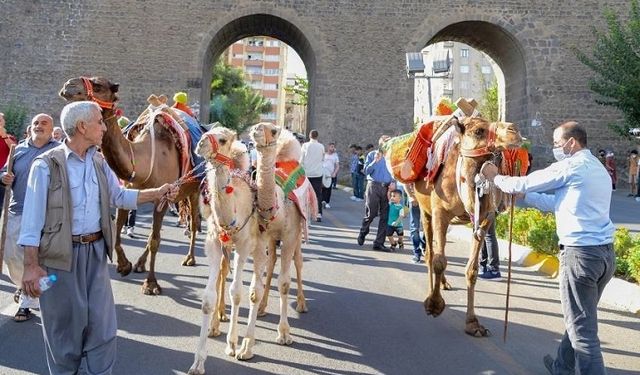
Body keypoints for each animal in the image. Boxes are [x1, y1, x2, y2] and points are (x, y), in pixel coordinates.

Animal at [59, 77, 201, 296]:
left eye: (98, 85)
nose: (68, 86)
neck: (144, 159)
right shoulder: (128, 191)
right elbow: (117, 231)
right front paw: (124, 265)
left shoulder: (162, 198)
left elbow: (155, 240)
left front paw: (151, 284)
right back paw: (140, 264)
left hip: (195, 189)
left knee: (193, 223)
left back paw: (189, 258)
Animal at [190, 128, 268, 374]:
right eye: (206, 132)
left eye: (222, 139)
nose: (201, 144)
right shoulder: (214, 243)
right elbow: (207, 298)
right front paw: (198, 363)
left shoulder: (244, 245)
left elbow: (237, 292)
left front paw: (232, 344)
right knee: (224, 276)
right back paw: (216, 325)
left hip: (261, 245)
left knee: (256, 289)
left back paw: (246, 347)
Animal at [248, 122, 318, 346]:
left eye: (273, 130)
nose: (256, 130)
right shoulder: (263, 236)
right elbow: (265, 275)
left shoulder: (289, 235)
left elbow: (285, 283)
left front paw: (285, 333)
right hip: (272, 239)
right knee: (271, 264)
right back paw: (263, 307)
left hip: (298, 233)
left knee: (299, 261)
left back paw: (302, 304)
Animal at [408, 116, 524, 336]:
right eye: (479, 131)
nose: (514, 130)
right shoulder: (439, 212)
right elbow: (438, 261)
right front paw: (434, 305)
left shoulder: (485, 218)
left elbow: (472, 269)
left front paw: (473, 323)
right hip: (424, 211)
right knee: (430, 254)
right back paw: (431, 290)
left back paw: (444, 283)